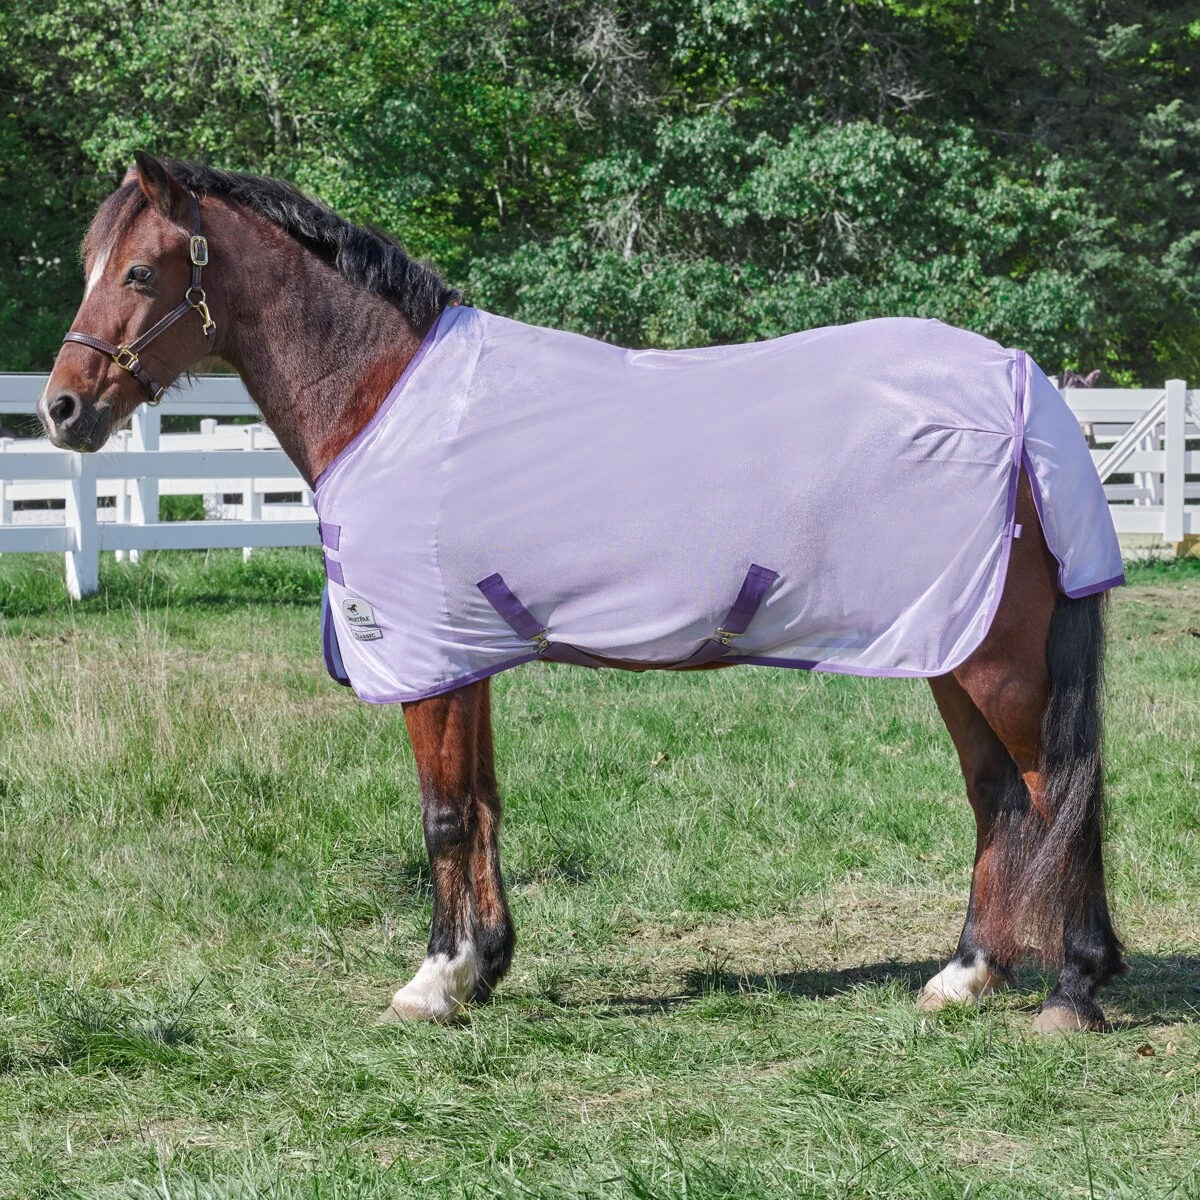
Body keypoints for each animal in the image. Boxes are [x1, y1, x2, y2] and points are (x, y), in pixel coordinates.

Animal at [40, 152, 1127, 1033]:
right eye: (91, 267)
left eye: (140, 272)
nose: (62, 408)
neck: (388, 399)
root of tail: (1021, 385)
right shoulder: (465, 655)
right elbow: (481, 804)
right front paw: (483, 966)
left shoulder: (428, 660)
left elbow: (441, 815)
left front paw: (434, 981)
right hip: (948, 644)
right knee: (1000, 799)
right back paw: (967, 976)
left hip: (997, 659)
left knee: (1055, 793)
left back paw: (1074, 987)